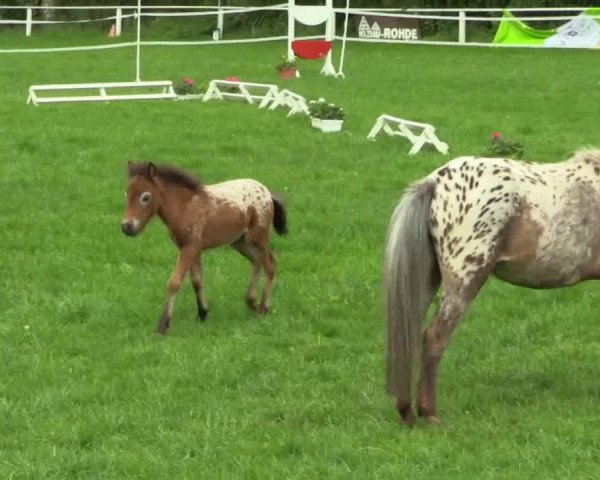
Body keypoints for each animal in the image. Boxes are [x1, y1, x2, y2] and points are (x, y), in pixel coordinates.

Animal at [120, 161, 288, 334]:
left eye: (146, 197)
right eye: (127, 194)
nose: (127, 227)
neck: (185, 207)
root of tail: (267, 192)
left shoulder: (189, 248)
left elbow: (174, 282)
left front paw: (163, 324)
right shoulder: (192, 249)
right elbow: (197, 280)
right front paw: (202, 314)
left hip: (258, 239)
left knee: (270, 264)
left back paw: (264, 307)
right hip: (240, 241)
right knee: (256, 262)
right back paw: (252, 302)